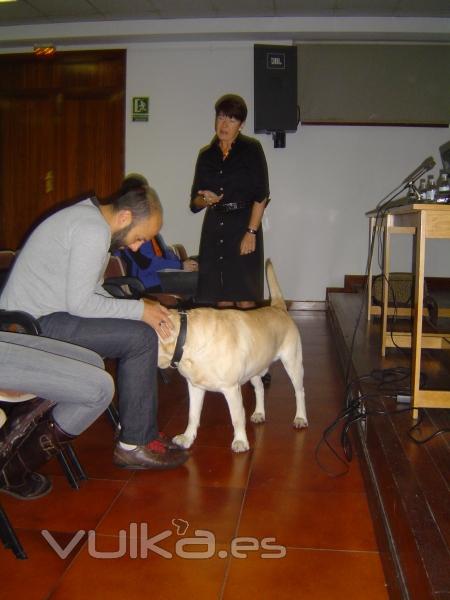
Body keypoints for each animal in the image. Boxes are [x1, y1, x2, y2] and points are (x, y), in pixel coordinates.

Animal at [156, 260, 308, 452]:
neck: (188, 340)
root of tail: (278, 307)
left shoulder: (231, 389)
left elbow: (237, 418)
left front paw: (240, 441)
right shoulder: (195, 387)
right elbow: (192, 415)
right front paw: (187, 437)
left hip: (292, 363)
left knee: (299, 391)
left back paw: (301, 418)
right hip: (255, 368)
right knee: (259, 388)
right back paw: (259, 413)